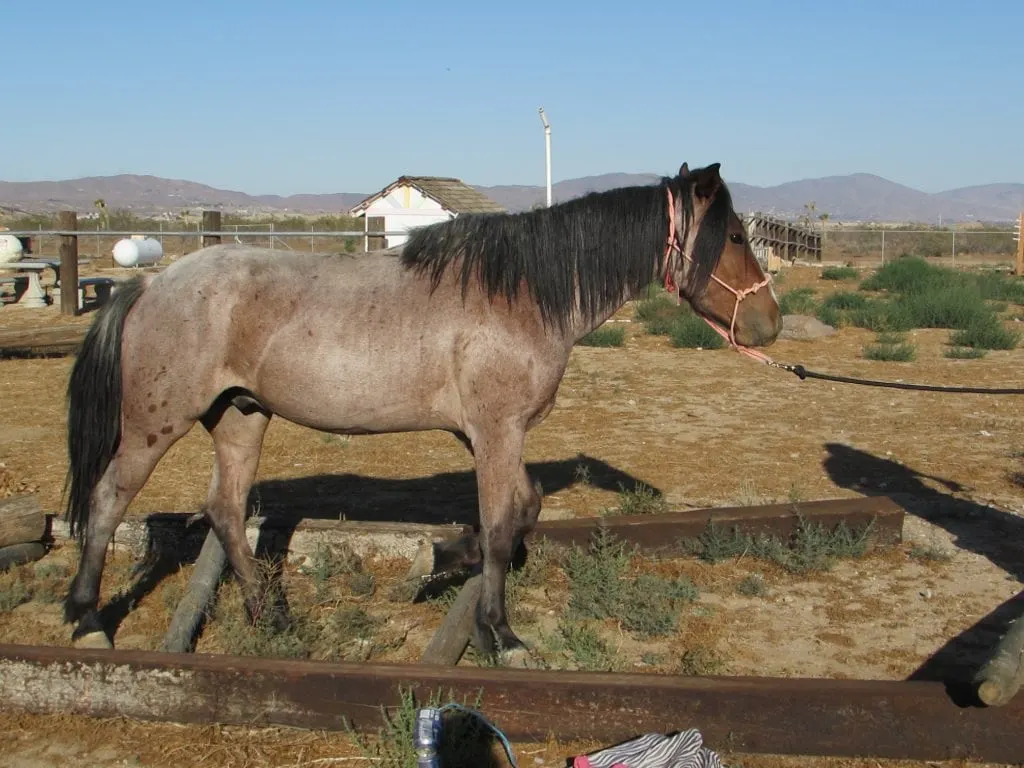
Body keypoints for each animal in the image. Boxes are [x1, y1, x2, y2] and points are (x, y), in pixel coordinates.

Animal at [61, 160, 782, 663]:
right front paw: (500, 632)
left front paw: (441, 560)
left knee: (226, 511)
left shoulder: (489, 436)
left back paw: (272, 615)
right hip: (155, 426)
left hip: (241, 417)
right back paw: (88, 621)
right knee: (107, 501)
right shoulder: (495, 432)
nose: (770, 323)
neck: (520, 293)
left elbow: (522, 507)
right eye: (734, 234)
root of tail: (151, 282)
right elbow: (502, 525)